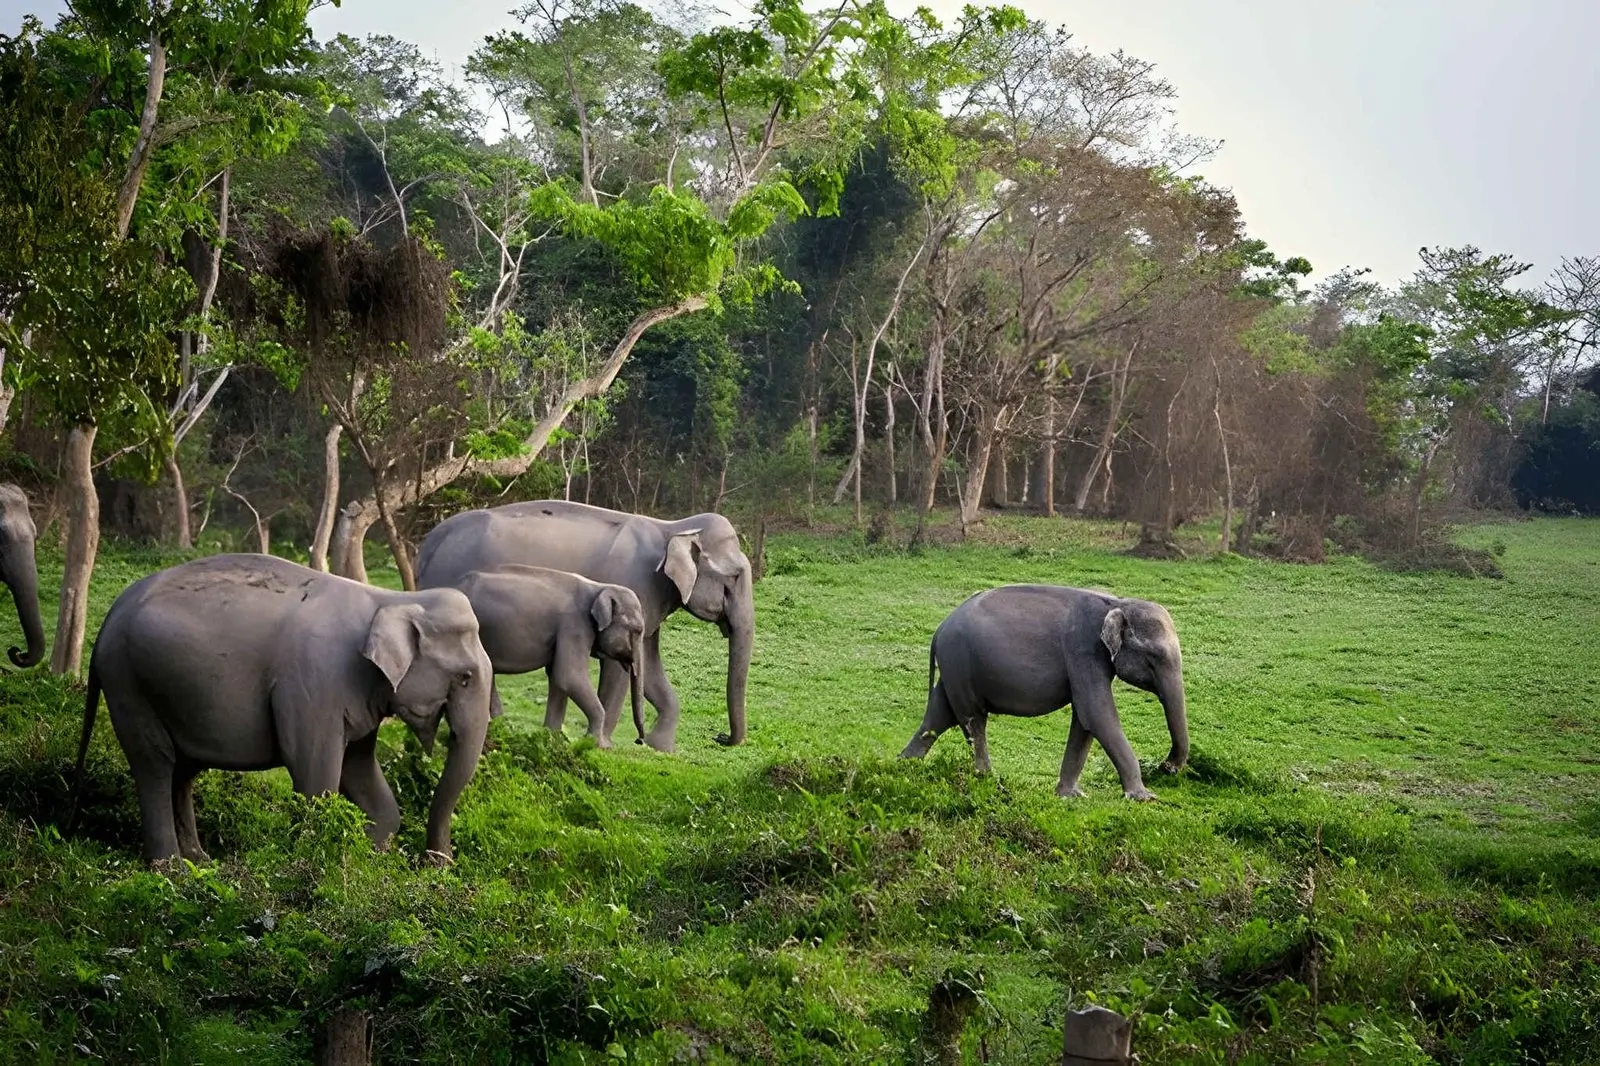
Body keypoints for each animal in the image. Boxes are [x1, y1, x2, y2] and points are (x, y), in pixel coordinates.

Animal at [72, 554, 492, 864]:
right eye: (465, 677)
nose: (436, 864)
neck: (390, 599)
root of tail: (110, 617)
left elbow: (360, 769)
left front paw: (365, 855)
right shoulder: (314, 684)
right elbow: (314, 773)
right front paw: (316, 859)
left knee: (183, 770)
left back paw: (200, 861)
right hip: (128, 680)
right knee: (155, 763)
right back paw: (170, 869)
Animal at [451, 564, 648, 748]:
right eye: (637, 630)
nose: (639, 740)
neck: (599, 586)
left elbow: (557, 677)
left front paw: (552, 738)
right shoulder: (575, 625)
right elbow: (569, 676)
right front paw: (597, 745)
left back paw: (502, 728)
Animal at [899, 585, 1190, 801]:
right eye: (1152, 658)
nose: (1167, 767)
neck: (1118, 602)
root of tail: (939, 629)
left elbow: (1085, 720)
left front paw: (1070, 796)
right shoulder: (1083, 651)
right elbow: (1096, 714)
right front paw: (1144, 798)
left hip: (954, 668)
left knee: (939, 716)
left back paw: (903, 767)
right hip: (959, 661)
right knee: (973, 720)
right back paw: (988, 780)